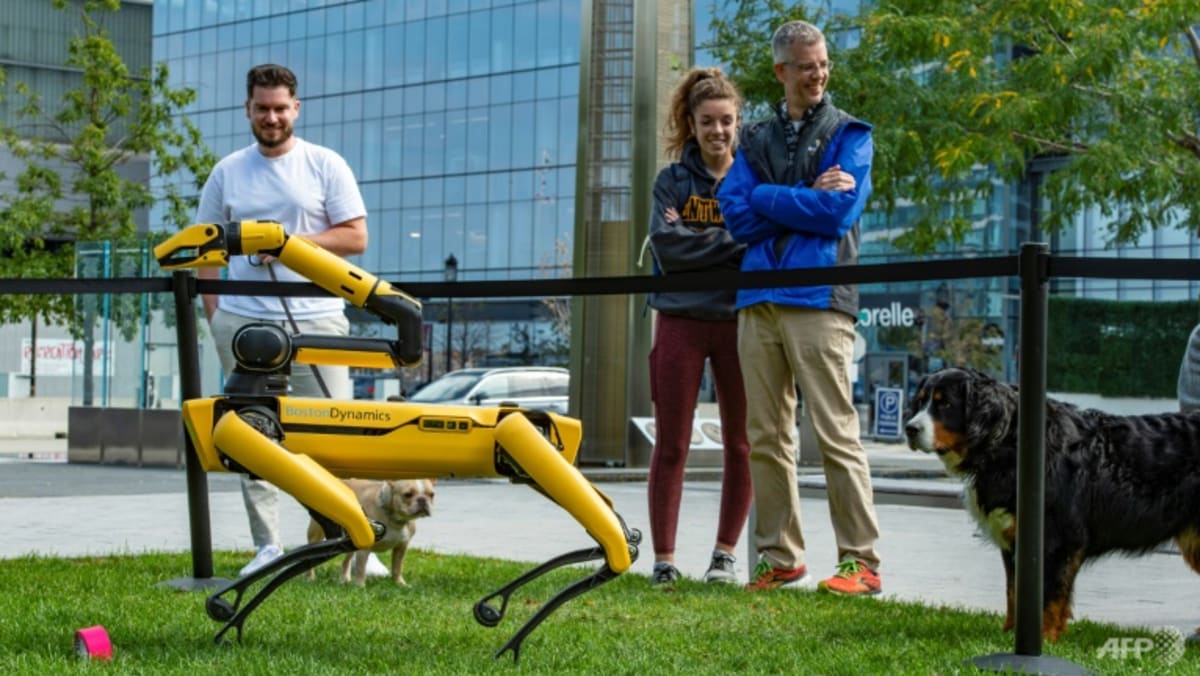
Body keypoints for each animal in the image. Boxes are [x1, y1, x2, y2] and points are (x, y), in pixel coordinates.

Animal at [157, 223, 638, 662]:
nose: (177, 250)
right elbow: (351, 531)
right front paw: (231, 610)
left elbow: (354, 531)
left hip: (524, 443)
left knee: (612, 536)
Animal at [902, 367, 1195, 643]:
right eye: (921, 401)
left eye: (945, 404)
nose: (910, 429)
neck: (1008, 444)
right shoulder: (1015, 539)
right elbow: (1015, 592)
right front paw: (1010, 635)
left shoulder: (1057, 539)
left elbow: (1049, 596)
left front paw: (1044, 638)